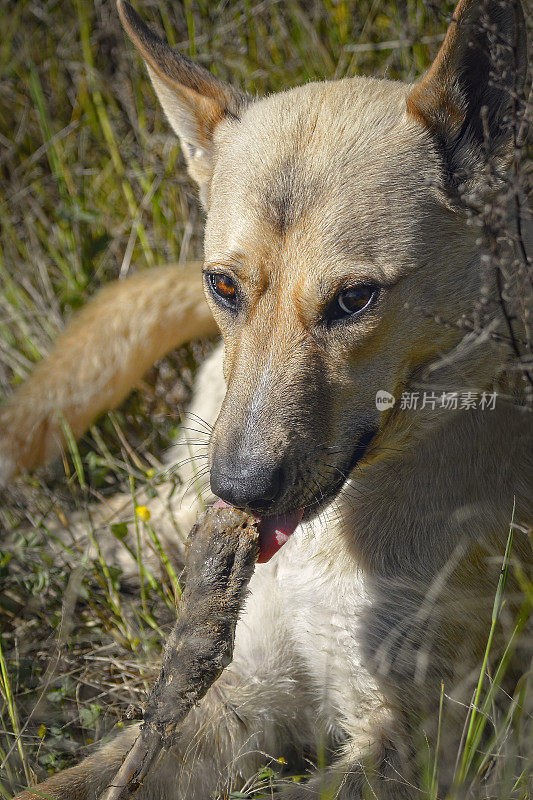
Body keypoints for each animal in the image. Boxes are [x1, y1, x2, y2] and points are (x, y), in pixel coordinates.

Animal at [5, 0, 532, 796]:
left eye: (354, 299)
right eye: (224, 284)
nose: (241, 491)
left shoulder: (414, 742)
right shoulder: (244, 690)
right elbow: (70, 782)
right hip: (167, 503)